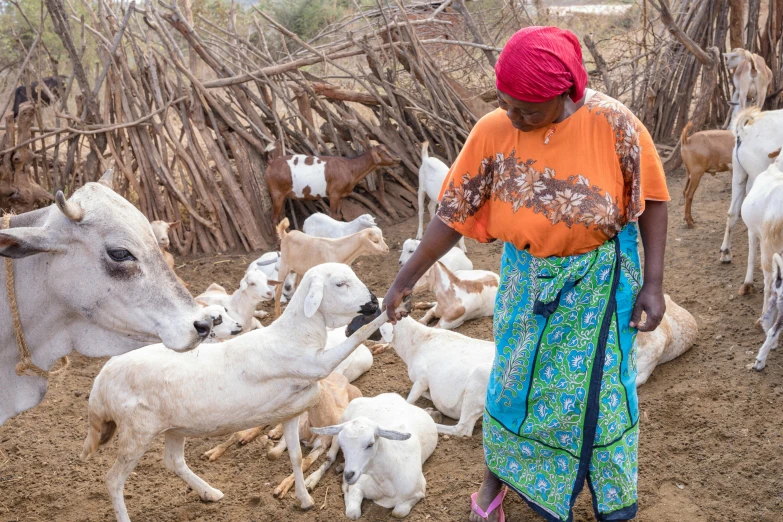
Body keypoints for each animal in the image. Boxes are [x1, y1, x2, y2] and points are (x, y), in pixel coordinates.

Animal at [78, 264, 390, 520]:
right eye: (340, 283)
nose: (372, 300)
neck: (295, 336)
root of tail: (100, 383)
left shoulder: (291, 412)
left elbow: (296, 458)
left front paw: (303, 500)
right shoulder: (317, 365)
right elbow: (357, 337)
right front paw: (389, 311)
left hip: (174, 425)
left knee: (173, 461)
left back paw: (210, 493)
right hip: (137, 431)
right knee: (113, 480)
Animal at [268, 143, 402, 222]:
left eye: (387, 149)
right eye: (383, 151)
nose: (398, 158)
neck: (350, 167)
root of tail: (272, 163)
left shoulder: (341, 195)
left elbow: (339, 216)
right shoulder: (334, 194)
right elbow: (332, 216)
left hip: (283, 195)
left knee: (279, 217)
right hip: (277, 193)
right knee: (274, 218)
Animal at [308, 392, 440, 516]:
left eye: (370, 444)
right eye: (343, 445)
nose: (348, 475)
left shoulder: (419, 492)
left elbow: (398, 512)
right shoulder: (358, 484)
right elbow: (353, 513)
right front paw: (345, 489)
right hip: (340, 424)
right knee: (329, 458)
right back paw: (310, 482)